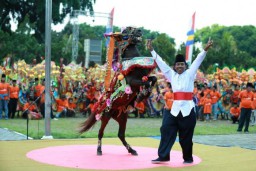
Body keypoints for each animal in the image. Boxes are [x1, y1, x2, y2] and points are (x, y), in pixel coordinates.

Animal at [79, 26, 157, 155]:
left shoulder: (144, 76)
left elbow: (153, 79)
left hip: (122, 117)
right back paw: (99, 150)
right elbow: (146, 83)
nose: (139, 31)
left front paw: (145, 94)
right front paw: (143, 94)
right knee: (101, 133)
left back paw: (132, 150)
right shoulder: (133, 82)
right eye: (127, 30)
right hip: (106, 116)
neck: (132, 62)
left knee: (121, 135)